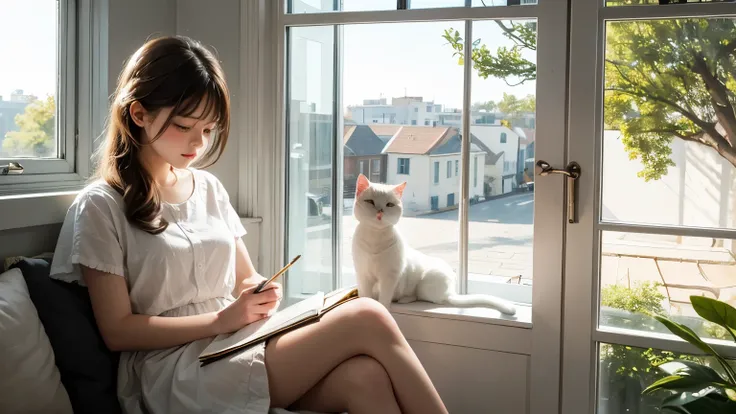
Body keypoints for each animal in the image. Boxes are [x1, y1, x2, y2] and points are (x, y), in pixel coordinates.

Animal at [352, 173, 516, 316]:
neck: (375, 237)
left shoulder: (389, 276)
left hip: (424, 286)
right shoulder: (362, 274)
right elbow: (365, 294)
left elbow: (384, 298)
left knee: (430, 298)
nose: (380, 212)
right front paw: (365, 304)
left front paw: (383, 307)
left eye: (389, 204)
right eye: (370, 202)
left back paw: (404, 299)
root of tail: (451, 290)